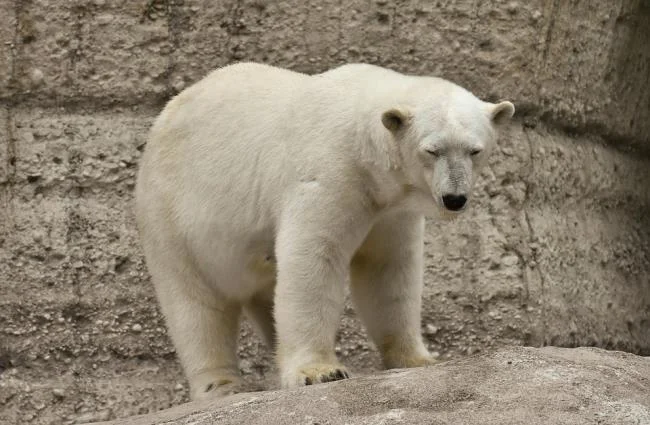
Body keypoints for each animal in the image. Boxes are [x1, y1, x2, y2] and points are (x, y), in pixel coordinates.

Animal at [134, 62, 514, 400]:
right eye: (432, 150)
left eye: (475, 150)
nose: (455, 198)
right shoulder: (329, 173)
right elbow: (314, 259)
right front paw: (320, 371)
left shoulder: (389, 210)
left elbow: (387, 271)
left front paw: (419, 359)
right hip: (173, 217)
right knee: (195, 304)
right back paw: (221, 385)